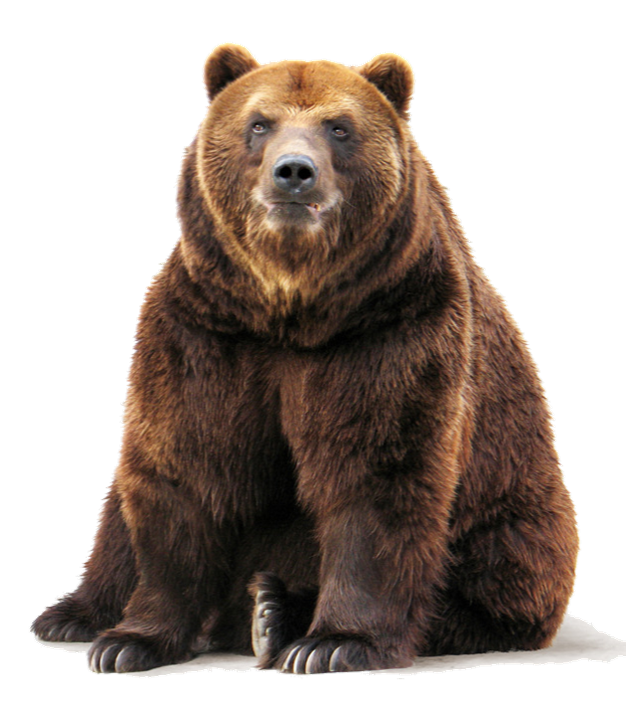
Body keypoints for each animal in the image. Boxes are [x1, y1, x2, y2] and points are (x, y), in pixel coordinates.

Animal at [30, 43, 580, 675]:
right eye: (259, 123)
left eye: (339, 127)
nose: (294, 171)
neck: (291, 308)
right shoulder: (206, 333)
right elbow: (185, 466)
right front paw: (130, 640)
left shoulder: (390, 329)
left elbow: (376, 474)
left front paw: (334, 641)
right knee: (120, 511)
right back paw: (76, 614)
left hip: (515, 512)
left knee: (491, 574)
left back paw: (275, 611)